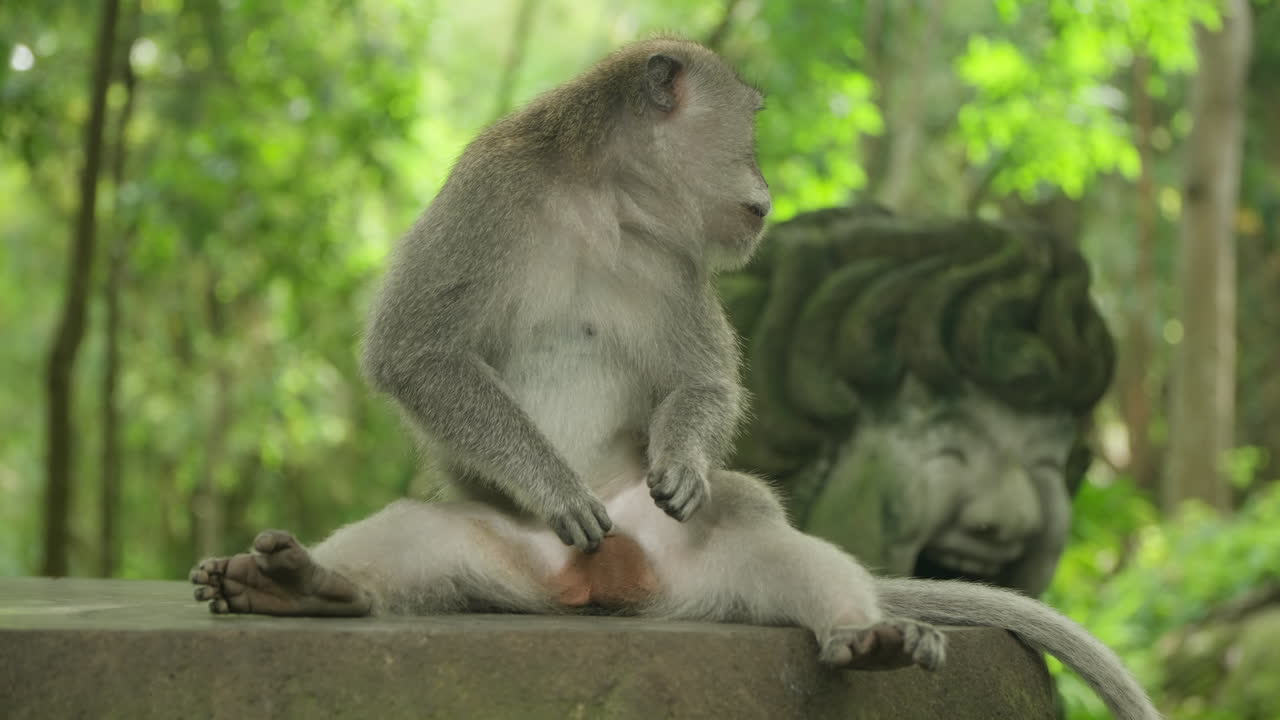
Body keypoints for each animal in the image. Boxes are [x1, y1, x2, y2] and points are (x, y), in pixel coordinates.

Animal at [189, 37, 1161, 720]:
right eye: (751, 123)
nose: (765, 183)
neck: (602, 198)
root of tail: (591, 588)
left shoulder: (679, 258)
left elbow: (705, 382)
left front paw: (685, 461)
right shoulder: (487, 195)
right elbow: (415, 350)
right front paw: (554, 485)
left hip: (685, 559)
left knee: (760, 533)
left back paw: (867, 635)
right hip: (500, 553)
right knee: (418, 533)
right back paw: (305, 586)